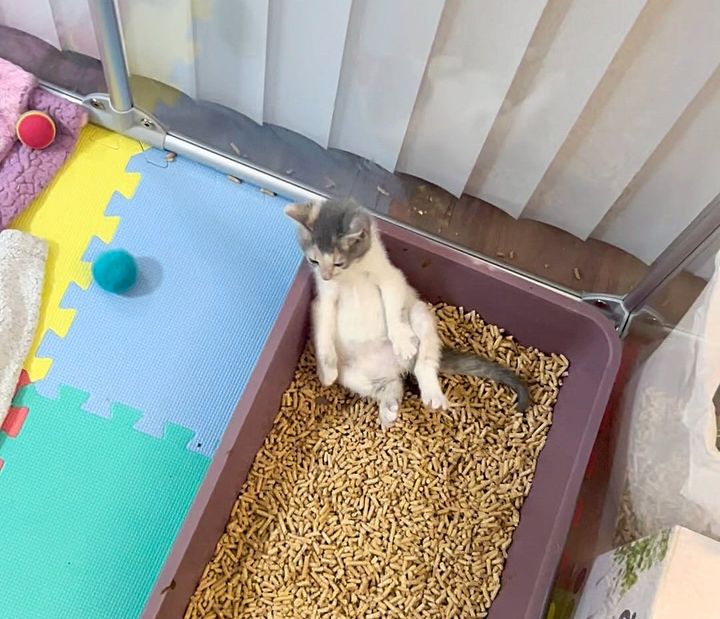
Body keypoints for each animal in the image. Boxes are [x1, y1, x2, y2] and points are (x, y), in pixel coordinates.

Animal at [286, 199, 528, 426]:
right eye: (313, 260)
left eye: (338, 262)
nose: (325, 275)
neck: (352, 274)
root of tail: (396, 367)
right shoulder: (323, 301)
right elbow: (322, 331)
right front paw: (325, 371)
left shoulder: (392, 279)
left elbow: (393, 310)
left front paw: (402, 341)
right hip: (350, 374)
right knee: (391, 385)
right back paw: (389, 408)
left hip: (420, 314)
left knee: (424, 364)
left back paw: (431, 393)